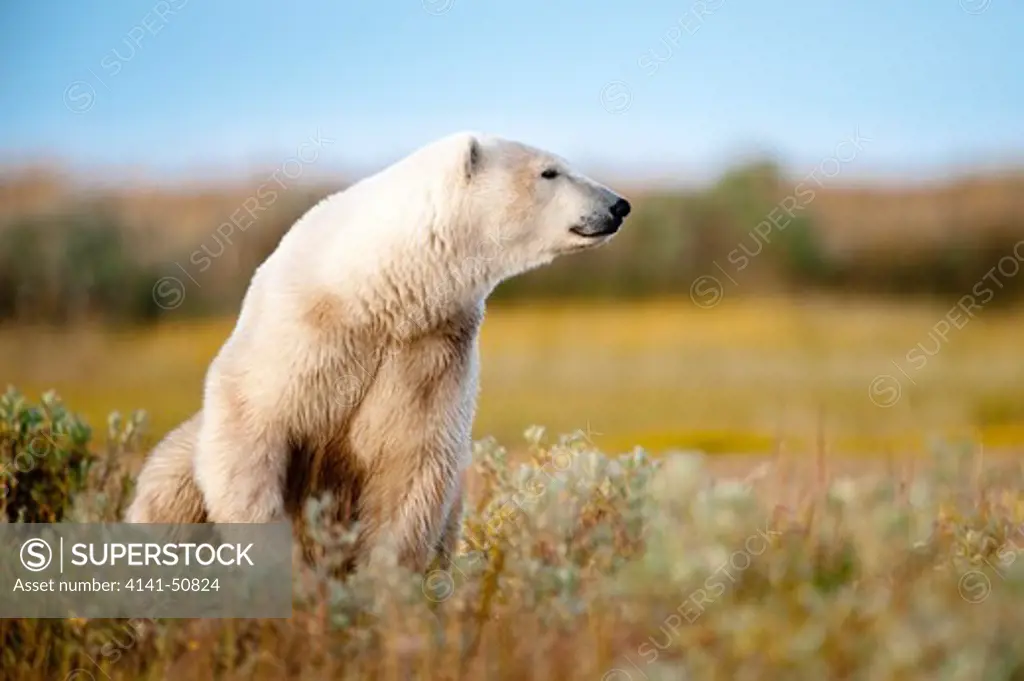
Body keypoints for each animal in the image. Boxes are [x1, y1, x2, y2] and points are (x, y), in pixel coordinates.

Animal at [128, 131, 630, 569]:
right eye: (550, 171)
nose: (618, 205)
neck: (379, 290)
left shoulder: (430, 351)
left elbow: (412, 466)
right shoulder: (304, 333)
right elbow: (250, 426)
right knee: (169, 494)